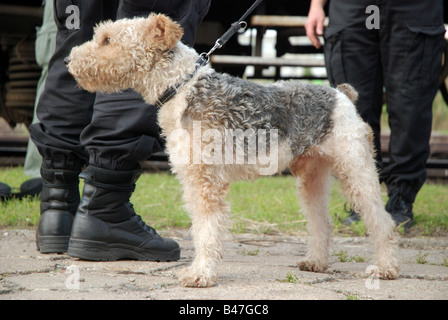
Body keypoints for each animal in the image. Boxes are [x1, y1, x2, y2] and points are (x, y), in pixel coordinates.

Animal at [66, 13, 400, 288]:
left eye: (107, 40)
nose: (69, 61)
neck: (182, 86)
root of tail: (341, 94)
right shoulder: (193, 179)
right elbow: (200, 229)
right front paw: (200, 270)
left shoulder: (206, 181)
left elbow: (207, 231)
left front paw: (200, 275)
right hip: (312, 176)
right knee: (322, 222)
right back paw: (316, 262)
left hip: (355, 169)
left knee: (381, 221)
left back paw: (385, 268)